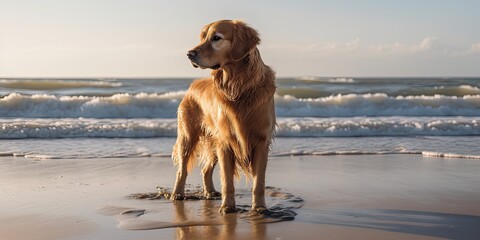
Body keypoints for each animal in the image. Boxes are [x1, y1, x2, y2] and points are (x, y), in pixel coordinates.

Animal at [172, 20, 278, 214]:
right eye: (202, 38)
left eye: (216, 38)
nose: (189, 54)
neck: (239, 87)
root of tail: (192, 86)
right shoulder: (226, 140)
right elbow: (227, 181)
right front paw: (228, 207)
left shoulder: (261, 141)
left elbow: (259, 183)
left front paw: (259, 208)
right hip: (188, 137)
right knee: (182, 170)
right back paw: (177, 194)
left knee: (205, 170)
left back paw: (210, 192)